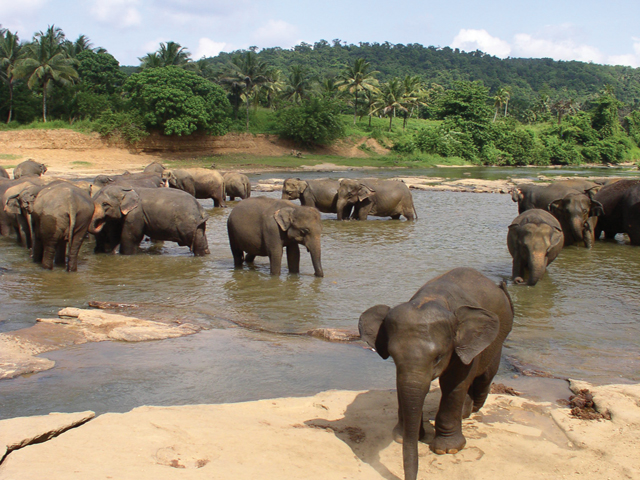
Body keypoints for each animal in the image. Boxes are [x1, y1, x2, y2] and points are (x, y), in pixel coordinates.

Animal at [358, 268, 513, 480]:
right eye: (393, 355)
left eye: (438, 357)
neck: (433, 297)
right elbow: (401, 382)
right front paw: (401, 437)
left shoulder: (462, 344)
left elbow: (454, 383)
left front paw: (447, 450)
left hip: (498, 336)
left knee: (484, 376)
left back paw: (470, 410)